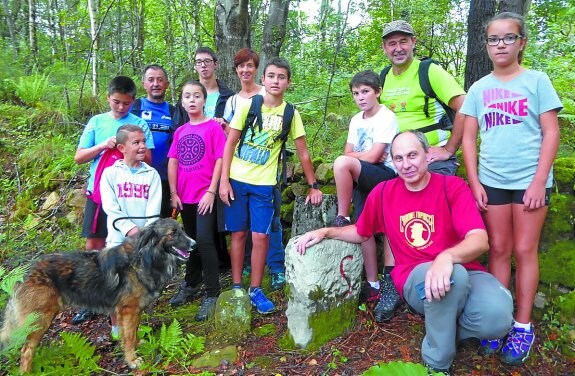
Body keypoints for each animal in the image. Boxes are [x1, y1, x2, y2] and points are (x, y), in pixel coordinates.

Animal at [0, 217, 196, 374]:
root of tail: (24, 272)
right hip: (40, 319)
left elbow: (130, 334)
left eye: (182, 230)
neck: (145, 258)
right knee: (26, 350)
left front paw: (134, 347)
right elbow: (129, 336)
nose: (194, 244)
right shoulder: (128, 310)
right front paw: (132, 361)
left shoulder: (132, 311)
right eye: (173, 233)